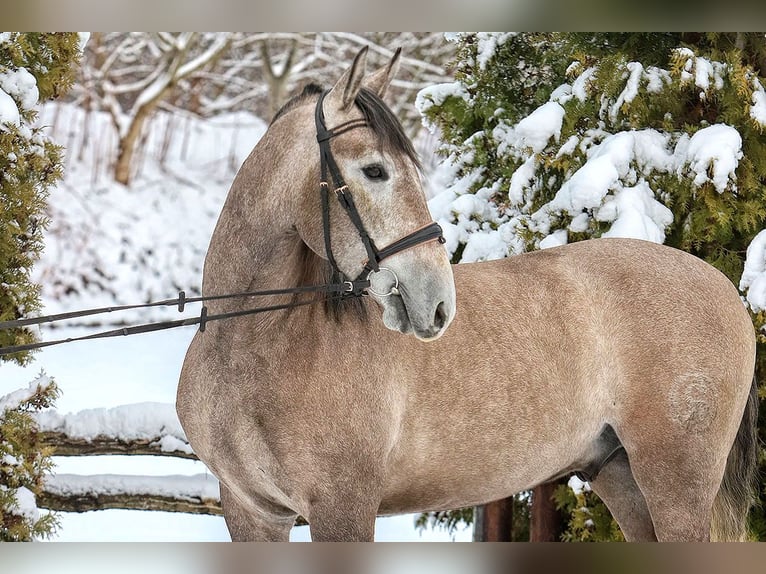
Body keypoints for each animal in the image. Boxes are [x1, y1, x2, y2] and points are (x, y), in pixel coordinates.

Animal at [177, 47, 759, 542]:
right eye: (375, 170)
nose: (437, 302)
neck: (255, 348)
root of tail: (726, 290)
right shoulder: (253, 514)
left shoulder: (343, 509)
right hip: (621, 478)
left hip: (675, 485)